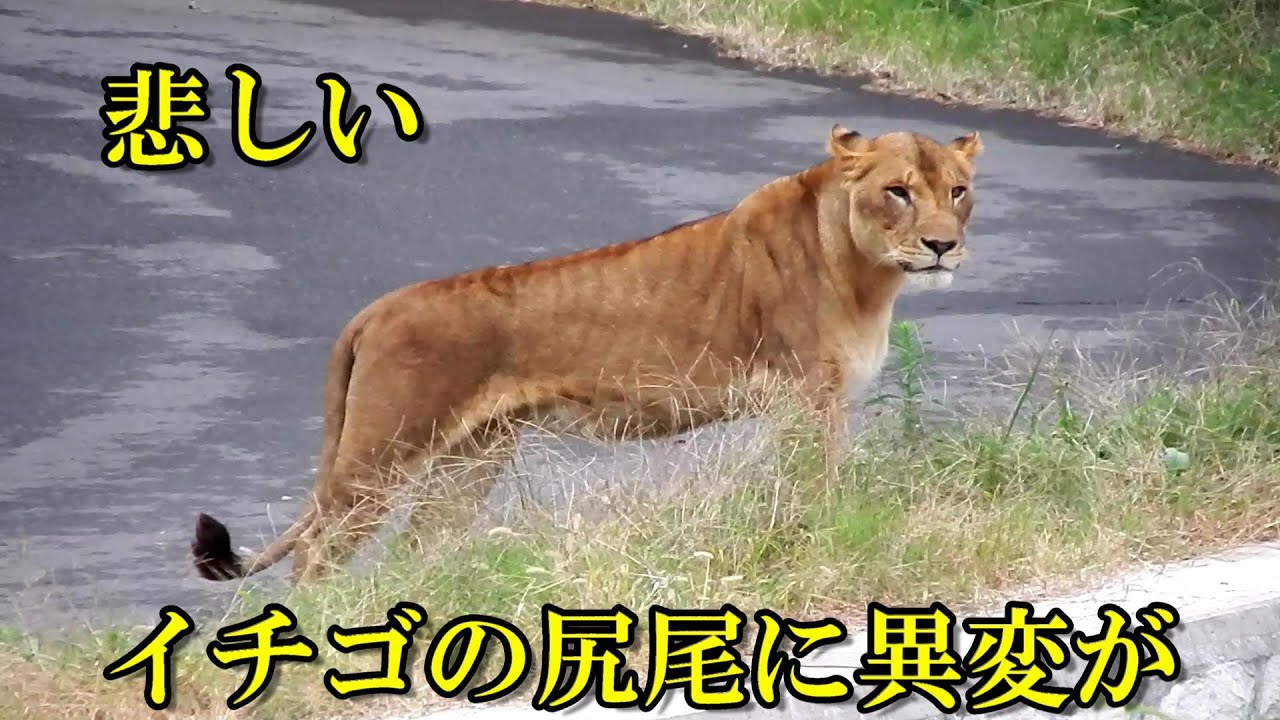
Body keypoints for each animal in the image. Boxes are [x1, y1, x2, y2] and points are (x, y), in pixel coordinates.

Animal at [192, 124, 983, 583]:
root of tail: (374, 309)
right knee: (319, 553)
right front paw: (823, 543)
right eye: (898, 192)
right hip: (382, 454)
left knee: (417, 546)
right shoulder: (810, 401)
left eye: (958, 191)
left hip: (469, 460)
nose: (944, 245)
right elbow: (821, 492)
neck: (866, 272)